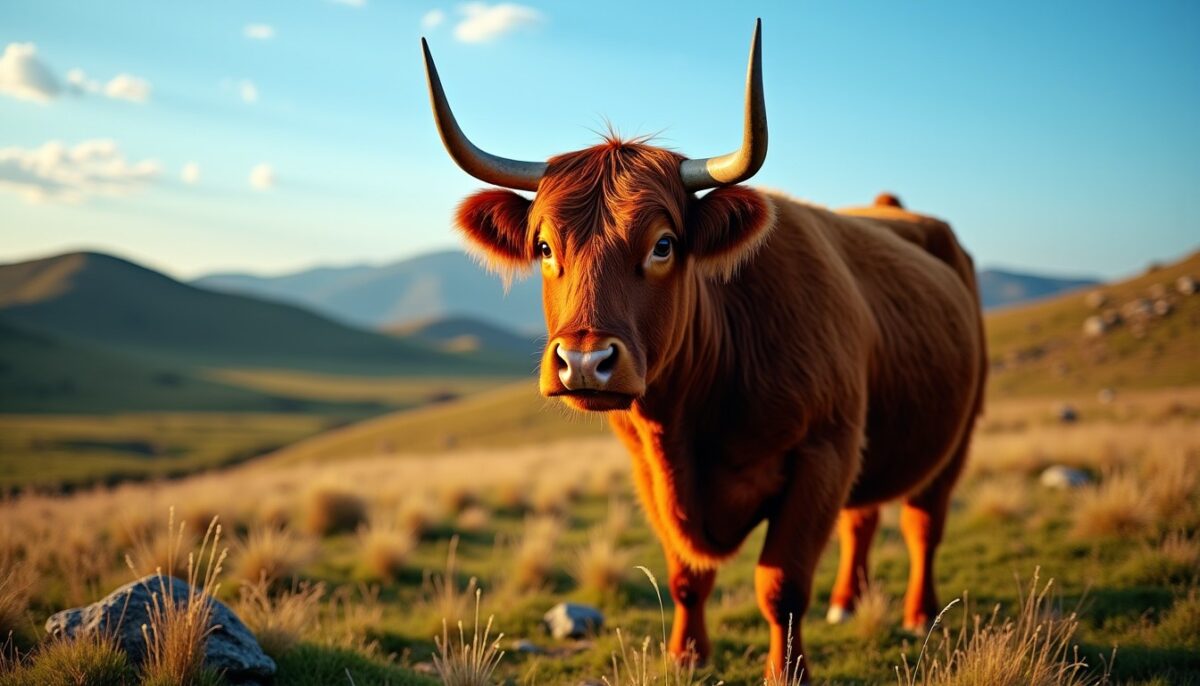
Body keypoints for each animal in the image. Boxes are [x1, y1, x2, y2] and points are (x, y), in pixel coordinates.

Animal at [420, 19, 986, 681]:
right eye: (544, 247)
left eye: (663, 244)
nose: (584, 361)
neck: (693, 417)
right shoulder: (652, 470)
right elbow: (687, 575)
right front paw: (686, 654)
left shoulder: (823, 453)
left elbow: (781, 585)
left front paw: (785, 672)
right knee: (863, 516)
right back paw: (848, 602)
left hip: (954, 435)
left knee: (923, 523)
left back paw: (919, 614)